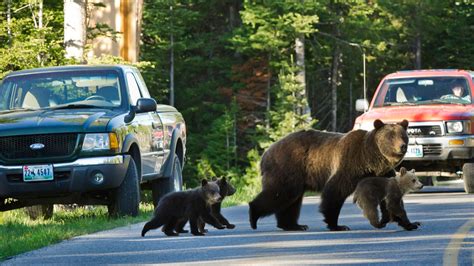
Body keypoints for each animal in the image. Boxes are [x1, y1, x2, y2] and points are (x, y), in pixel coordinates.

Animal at [248, 119, 408, 232]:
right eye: (390, 136)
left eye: (403, 135)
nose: (402, 146)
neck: (371, 161)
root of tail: (266, 153)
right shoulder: (349, 165)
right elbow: (335, 191)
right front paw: (337, 225)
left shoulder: (385, 174)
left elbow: (393, 198)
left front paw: (403, 222)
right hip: (287, 166)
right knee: (280, 193)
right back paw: (254, 216)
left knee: (291, 200)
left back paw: (293, 225)